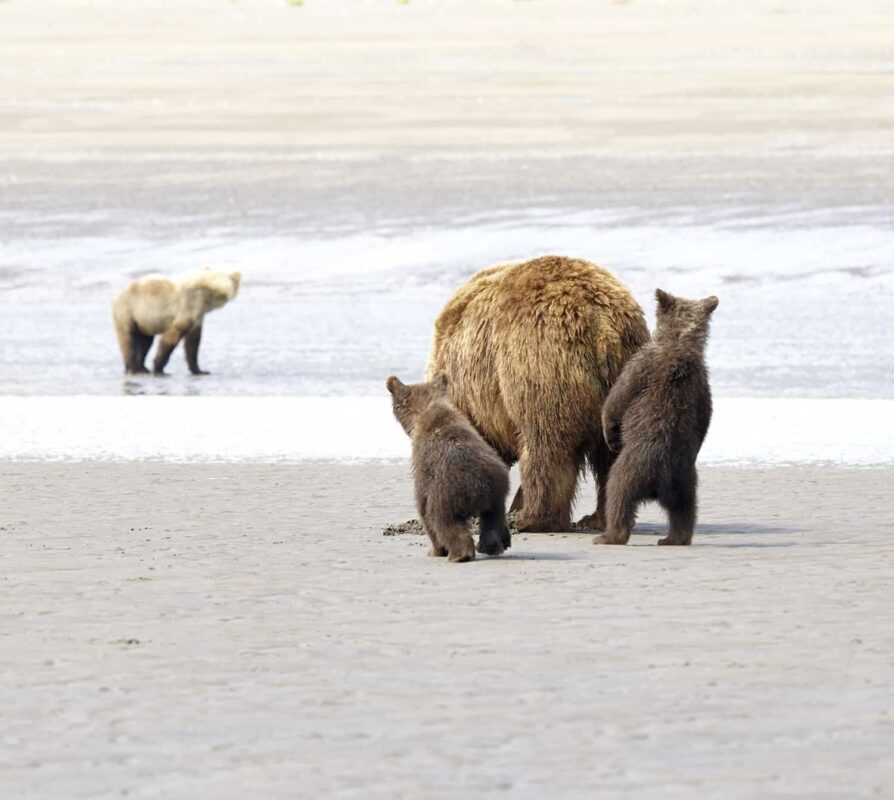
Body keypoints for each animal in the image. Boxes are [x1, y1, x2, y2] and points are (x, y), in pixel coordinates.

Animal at [112, 269, 241, 376]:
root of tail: (116, 297)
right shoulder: (189, 306)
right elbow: (172, 336)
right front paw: (159, 368)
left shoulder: (198, 316)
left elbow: (192, 341)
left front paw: (200, 370)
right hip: (128, 312)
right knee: (128, 339)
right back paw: (133, 368)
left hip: (144, 321)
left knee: (145, 341)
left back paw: (142, 368)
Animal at [387, 373, 511, 563]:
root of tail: (478, 488)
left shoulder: (424, 474)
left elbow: (423, 510)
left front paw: (435, 550)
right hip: (497, 490)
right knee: (492, 520)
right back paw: (492, 545)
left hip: (446, 494)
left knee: (444, 523)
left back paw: (459, 554)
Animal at [427, 255, 649, 533]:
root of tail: (602, 324)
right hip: (626, 375)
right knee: (611, 452)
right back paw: (598, 517)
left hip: (538, 361)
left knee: (545, 446)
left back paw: (533, 519)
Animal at [594, 289, 719, 546]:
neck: (679, 343)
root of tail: (660, 481)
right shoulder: (703, 386)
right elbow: (705, 419)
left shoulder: (640, 365)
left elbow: (617, 398)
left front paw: (609, 431)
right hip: (685, 480)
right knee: (685, 511)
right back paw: (674, 538)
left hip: (630, 468)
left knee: (617, 494)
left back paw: (609, 535)